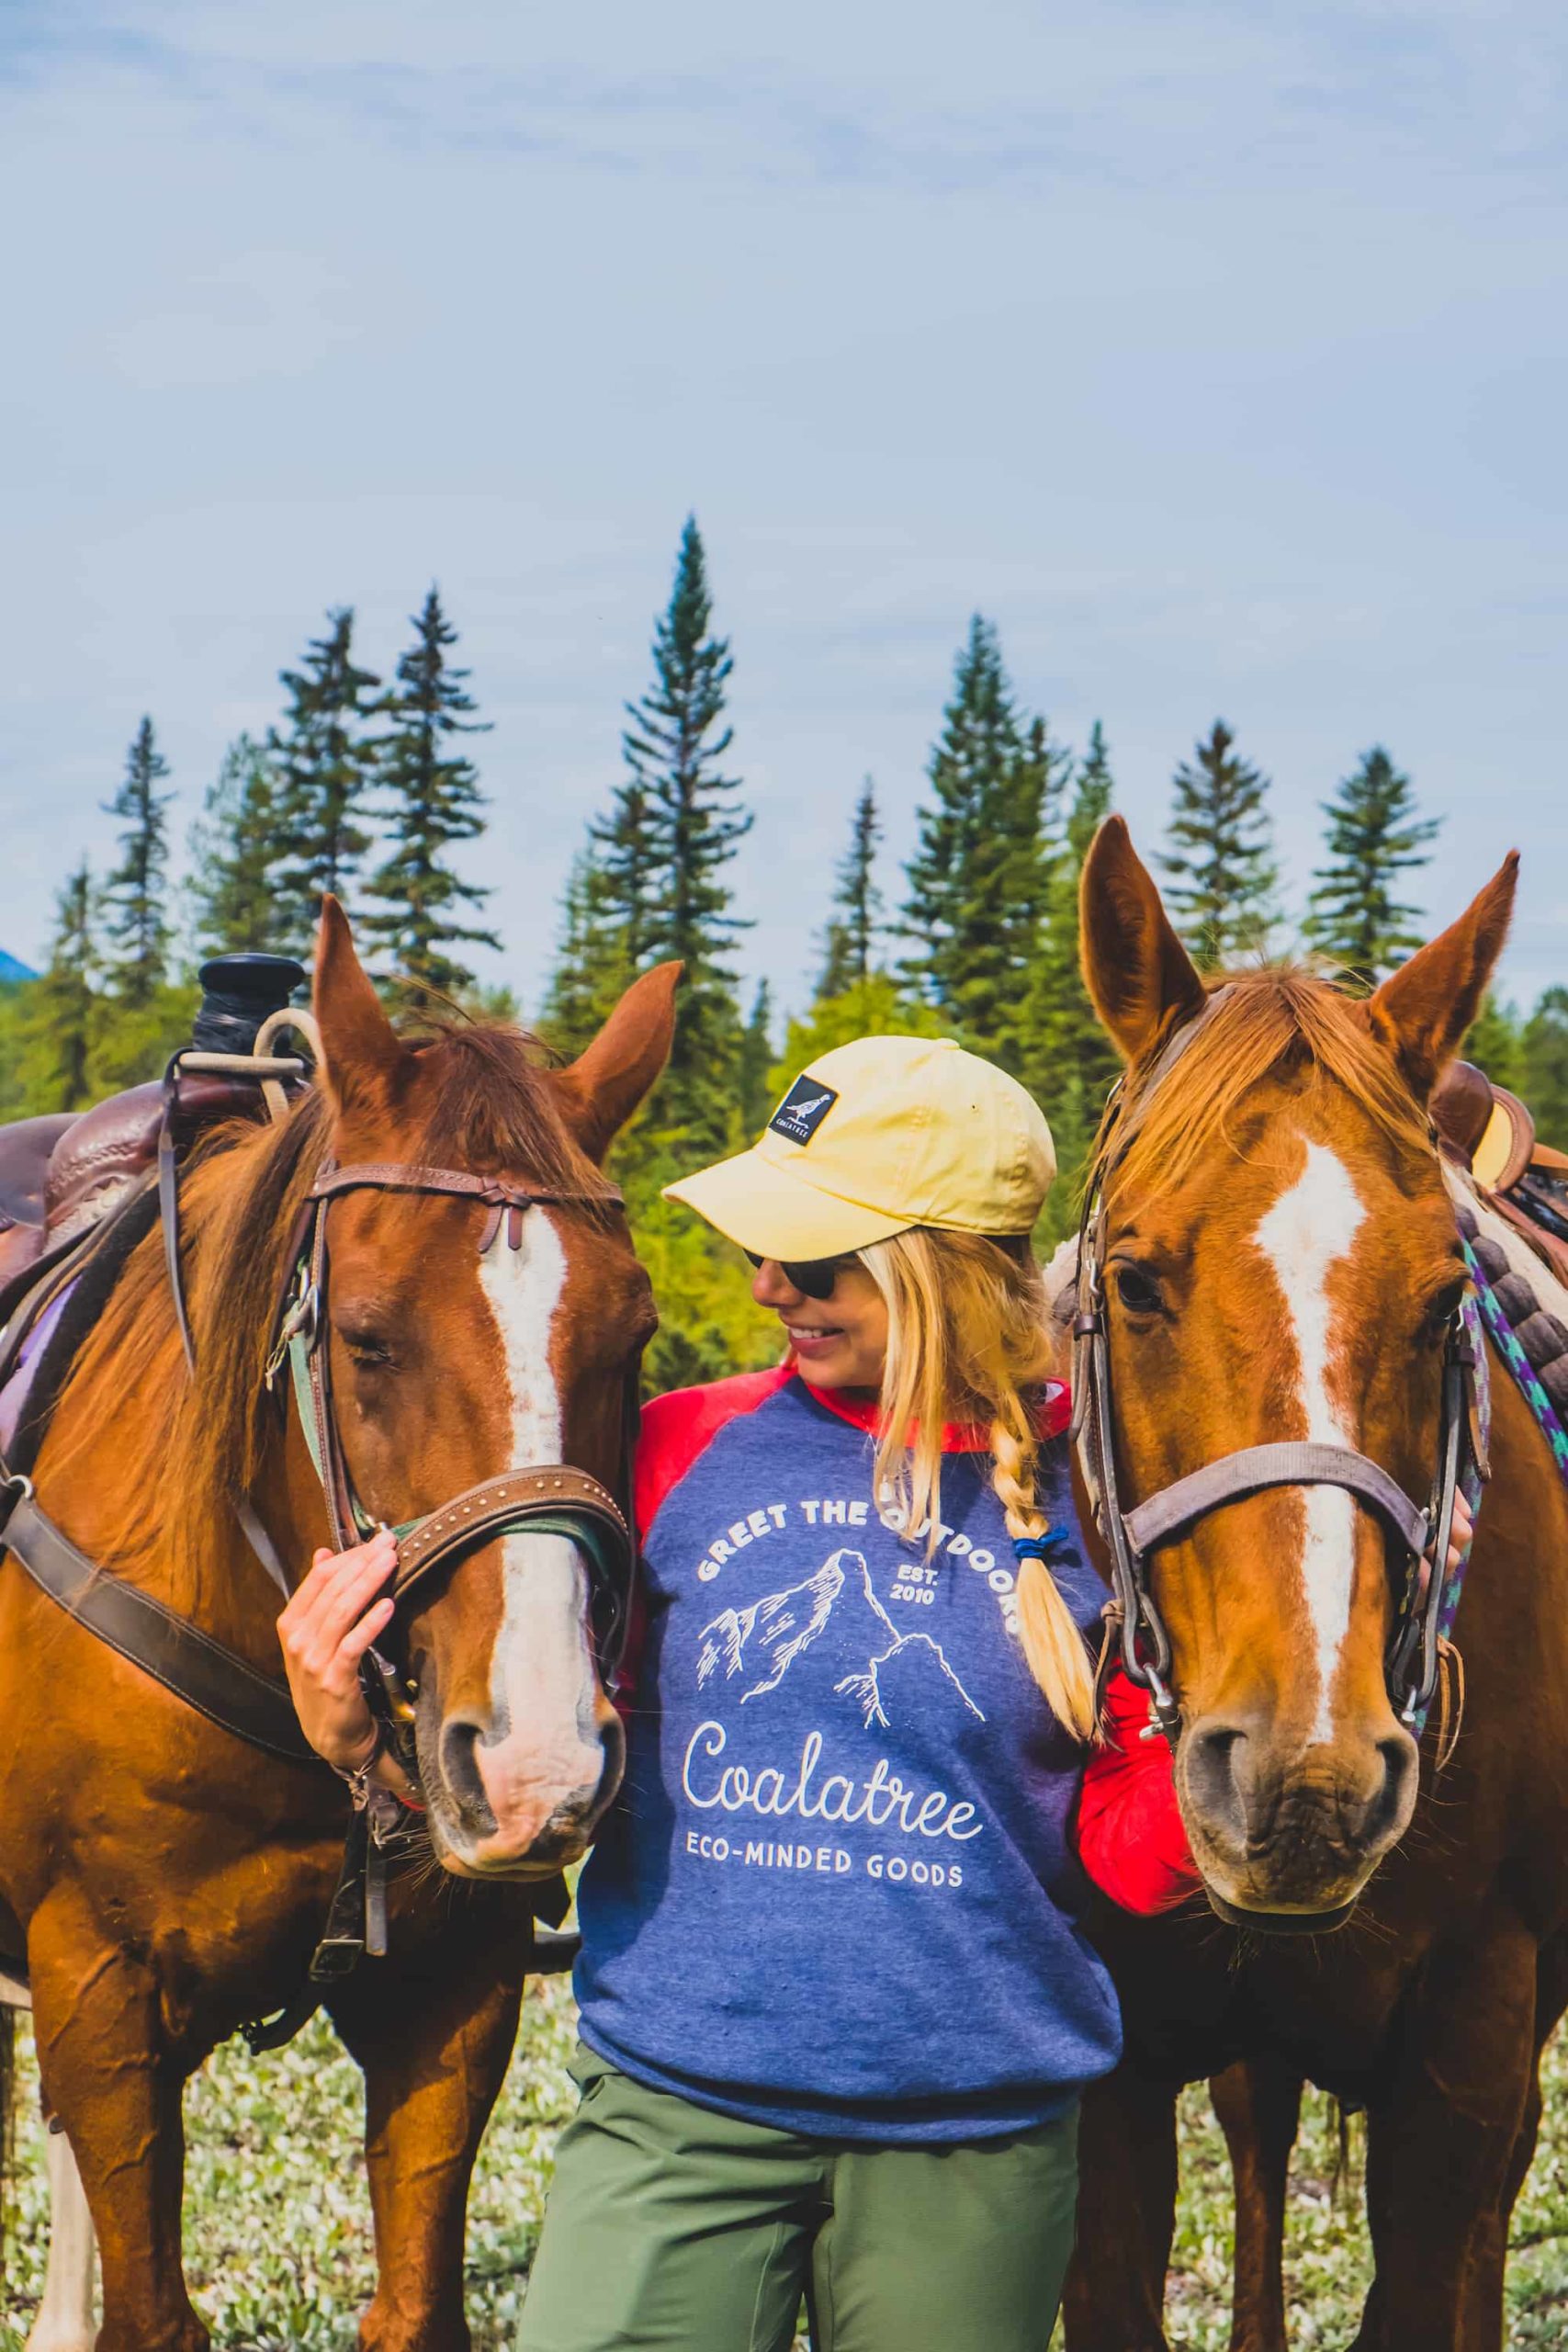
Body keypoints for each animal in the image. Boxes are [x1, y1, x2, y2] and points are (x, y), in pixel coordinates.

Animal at [0, 903, 677, 2352]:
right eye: (366, 1339)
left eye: (632, 1332)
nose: (536, 1766)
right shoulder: (101, 1998)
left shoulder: (455, 1991)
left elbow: (413, 2307)